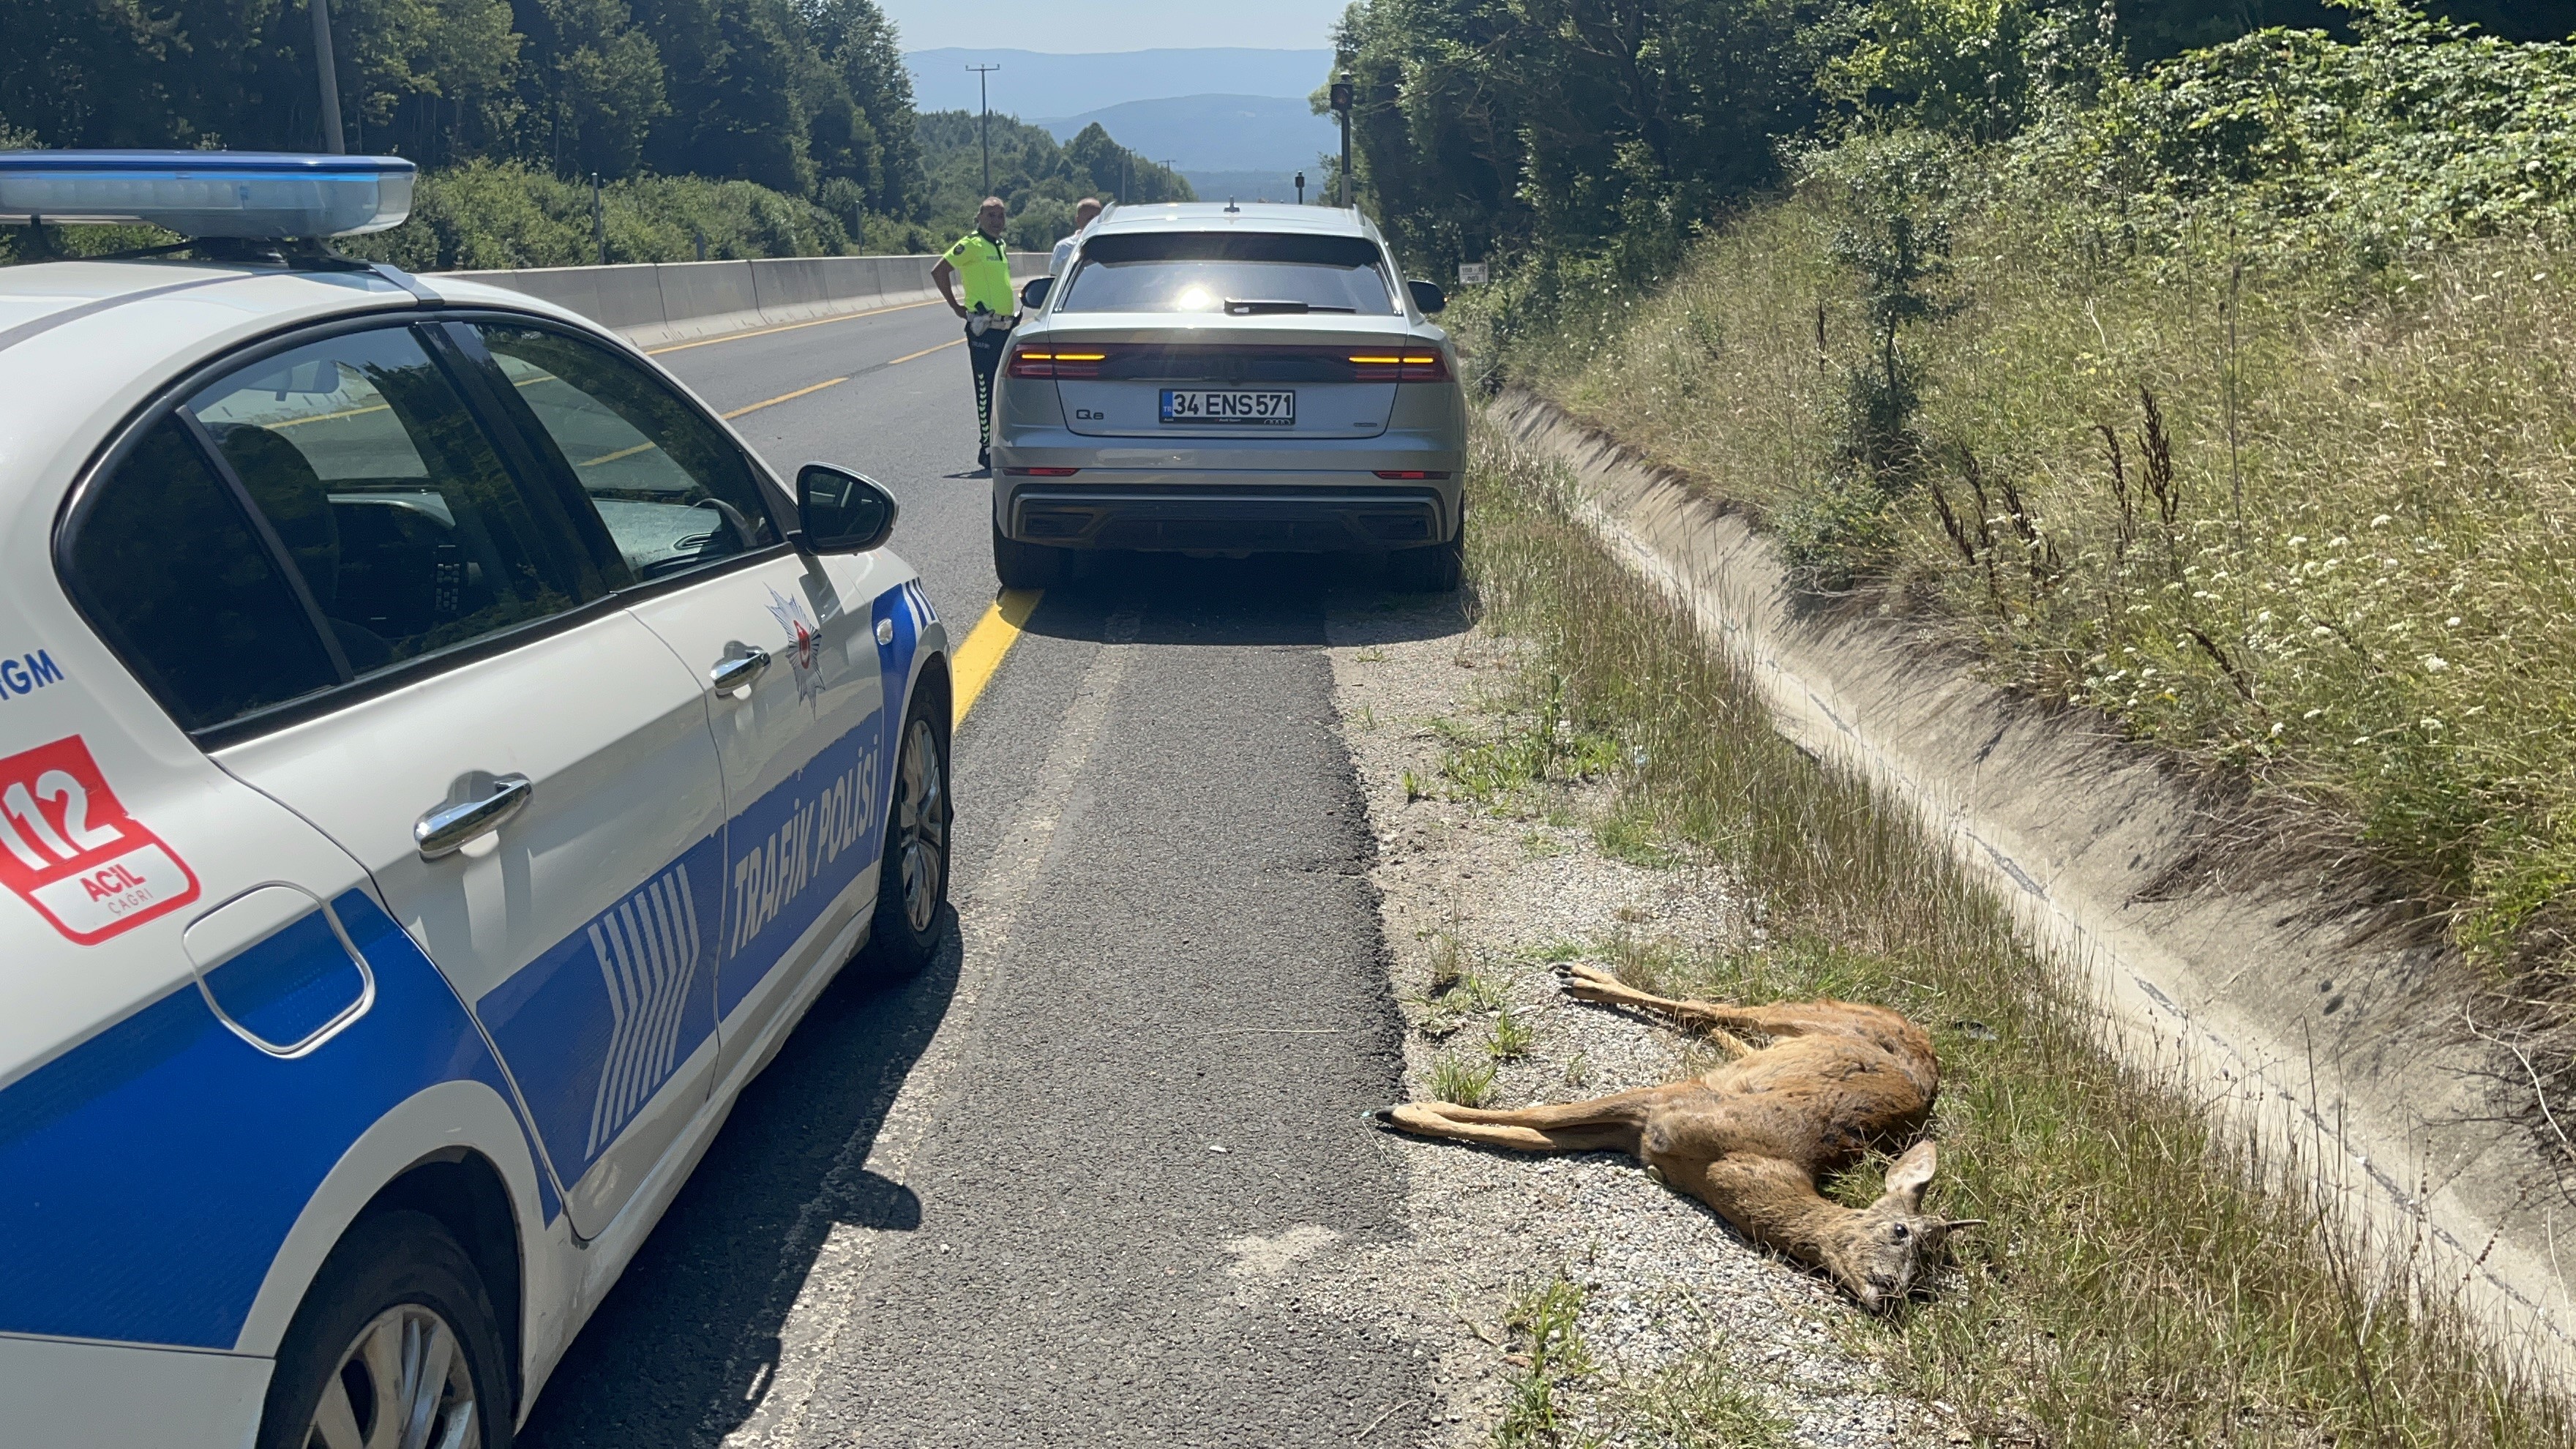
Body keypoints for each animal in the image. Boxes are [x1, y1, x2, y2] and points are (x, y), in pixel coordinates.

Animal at [1390, 959, 1968, 1309]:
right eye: (1900, 1232)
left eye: (1922, 1282)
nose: (1890, 1294)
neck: (1734, 1165)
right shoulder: (1663, 1103)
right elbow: (1544, 1114)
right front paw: (1407, 1109)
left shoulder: (1639, 1137)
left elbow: (1531, 1135)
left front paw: (1413, 1113)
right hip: (1803, 1013)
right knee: (1712, 1007)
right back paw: (1579, 977)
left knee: (1717, 1028)